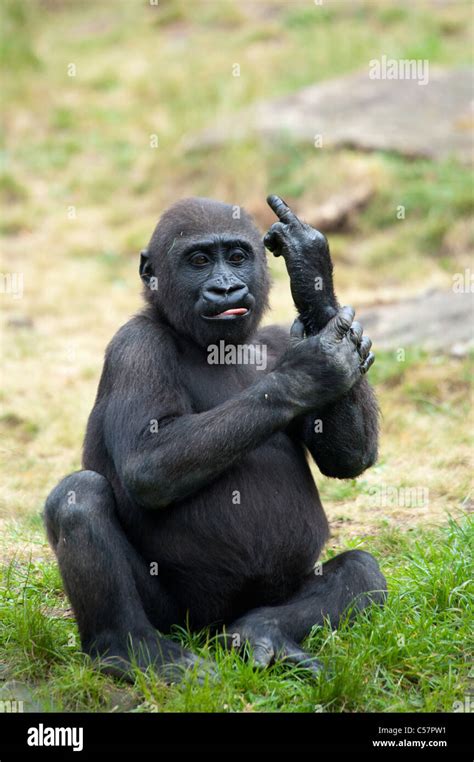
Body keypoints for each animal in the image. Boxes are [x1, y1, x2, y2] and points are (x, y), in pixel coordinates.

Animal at [43, 193, 386, 680]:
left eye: (237, 257)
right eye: (200, 260)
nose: (225, 290)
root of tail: (211, 629)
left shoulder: (276, 339)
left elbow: (347, 457)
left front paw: (311, 277)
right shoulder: (134, 347)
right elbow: (148, 464)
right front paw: (311, 371)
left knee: (363, 570)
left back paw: (261, 632)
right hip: (177, 619)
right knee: (79, 495)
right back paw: (130, 648)